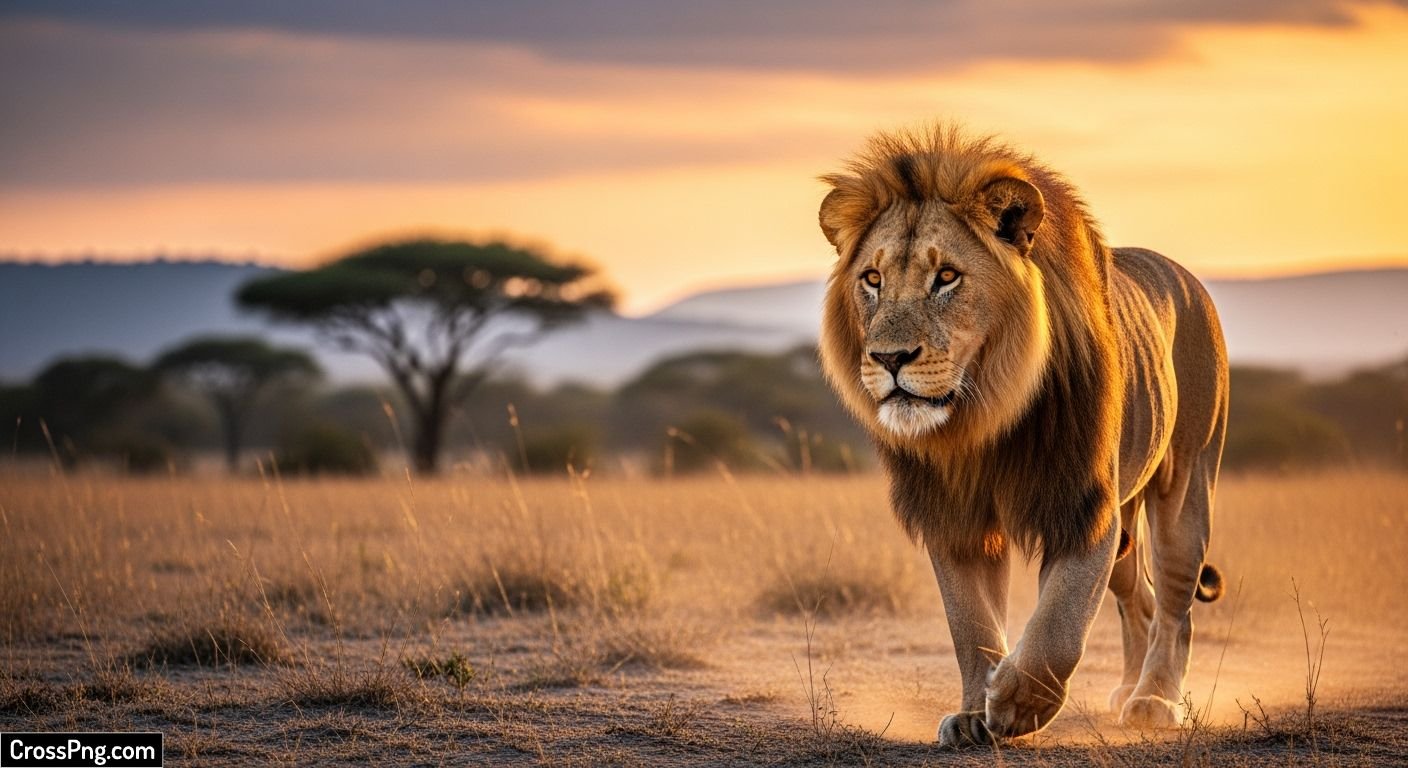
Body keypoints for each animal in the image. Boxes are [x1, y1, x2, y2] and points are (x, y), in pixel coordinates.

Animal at [816, 124, 1228, 745]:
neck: (982, 414)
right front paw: (972, 714)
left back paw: (1154, 700)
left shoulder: (1082, 507)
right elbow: (970, 624)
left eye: (946, 277)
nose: (888, 358)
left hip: (1185, 483)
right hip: (1127, 527)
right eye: (872, 279)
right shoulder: (954, 516)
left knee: (1177, 606)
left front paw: (1015, 703)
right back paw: (1125, 690)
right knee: (1141, 600)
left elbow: (1059, 623)